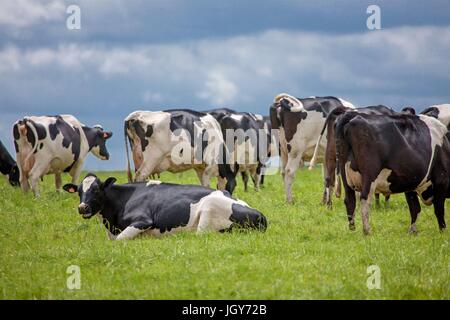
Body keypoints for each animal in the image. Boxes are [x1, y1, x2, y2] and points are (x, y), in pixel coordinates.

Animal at [63, 174, 268, 239]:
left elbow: (120, 240)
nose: (82, 207)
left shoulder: (143, 221)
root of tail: (260, 214)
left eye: (97, 190)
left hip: (209, 211)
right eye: (79, 191)